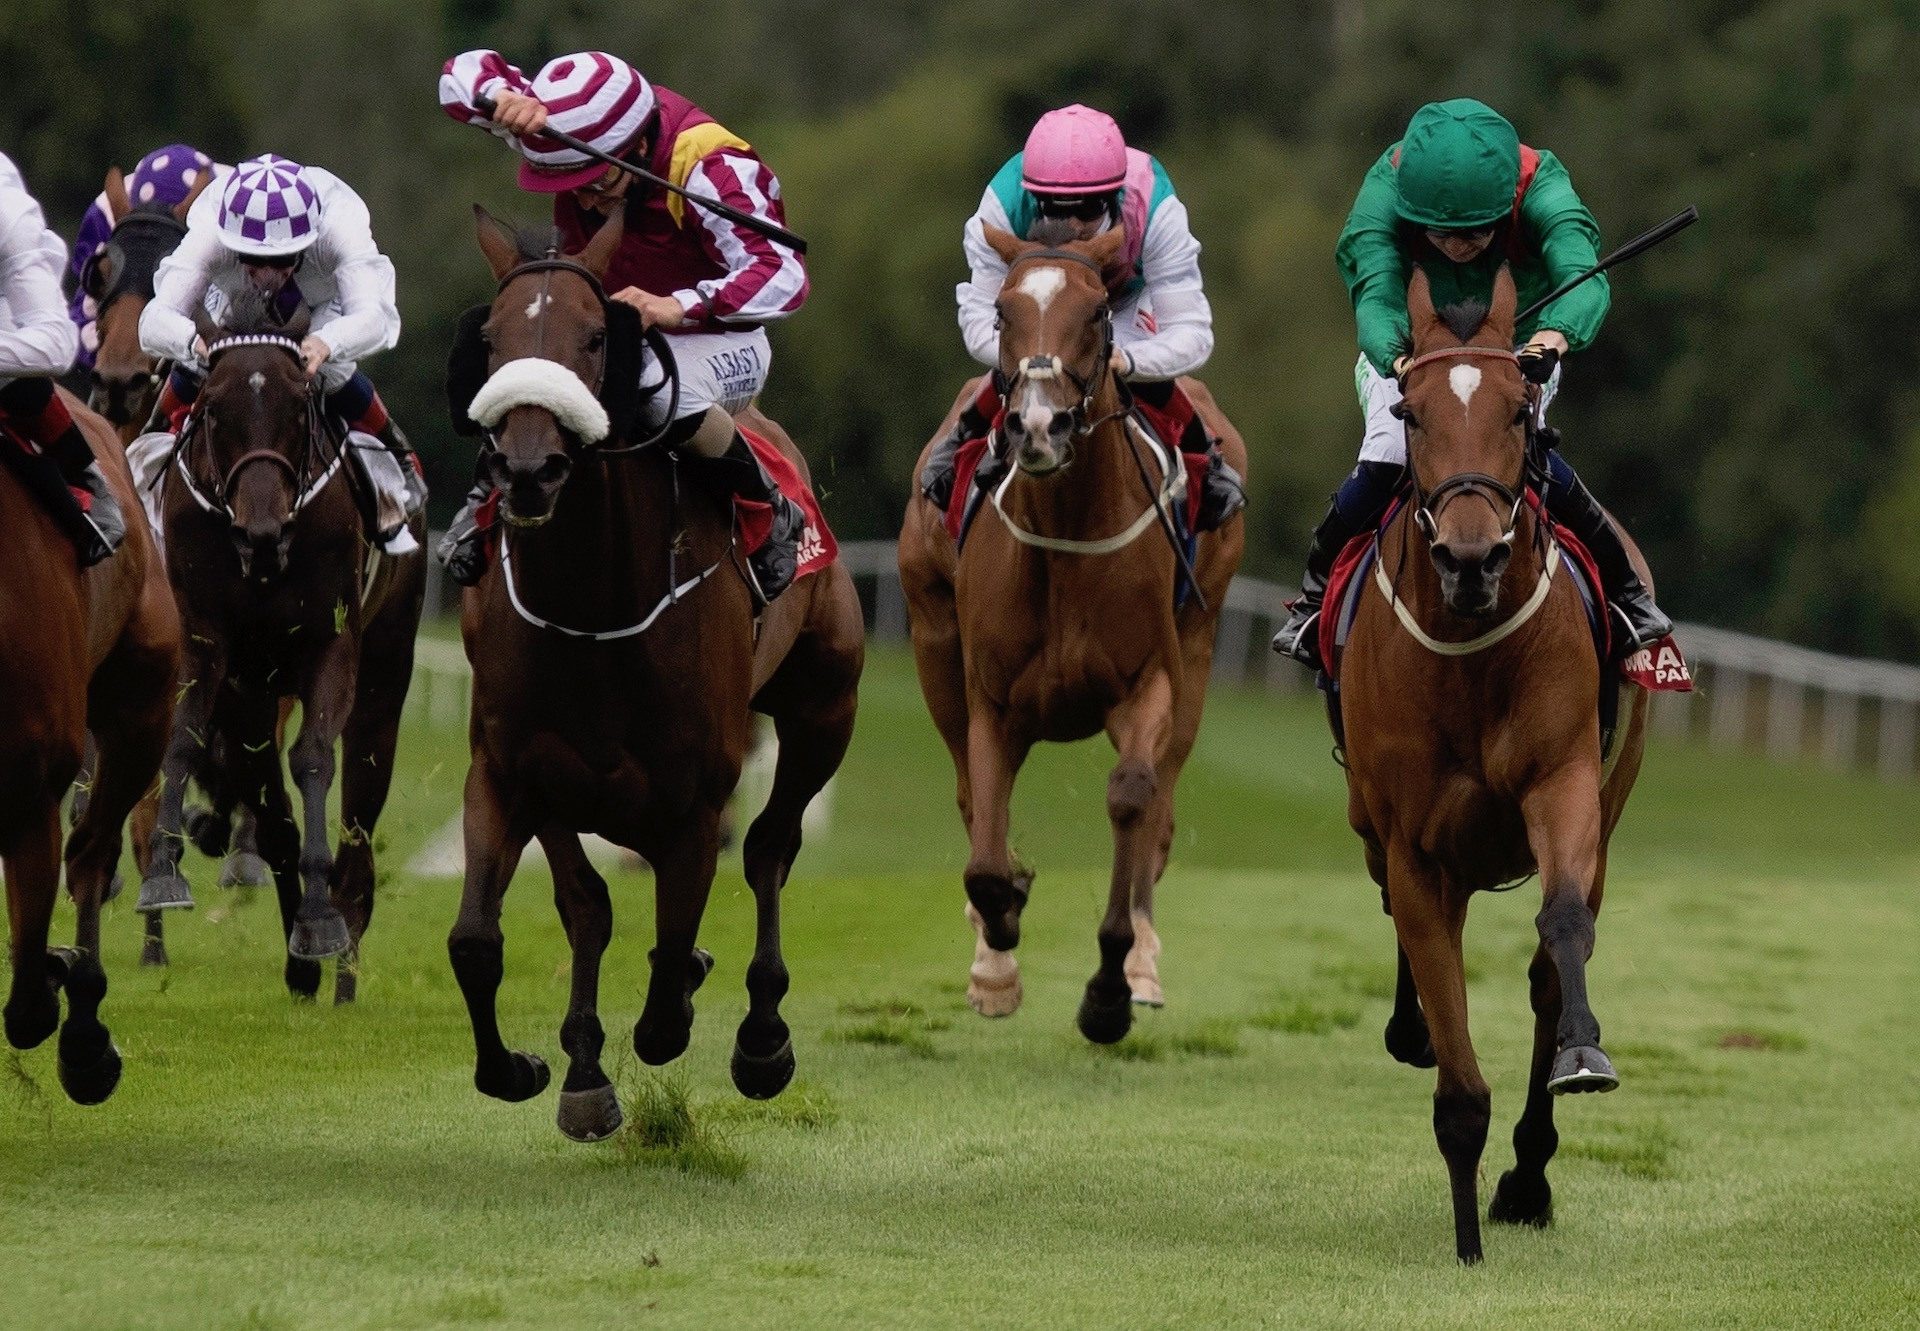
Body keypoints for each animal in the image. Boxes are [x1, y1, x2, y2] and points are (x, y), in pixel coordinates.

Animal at [139, 297, 428, 998]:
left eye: (300, 407)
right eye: (213, 407)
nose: (262, 530)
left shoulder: (332, 643)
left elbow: (316, 759)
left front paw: (322, 920)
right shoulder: (214, 646)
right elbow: (186, 741)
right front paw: (163, 872)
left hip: (385, 675)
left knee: (360, 813)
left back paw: (344, 952)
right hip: (256, 689)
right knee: (271, 813)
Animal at [449, 207, 864, 1144]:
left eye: (597, 336)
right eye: (491, 339)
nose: (527, 470)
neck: (593, 607)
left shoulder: (694, 799)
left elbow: (668, 981)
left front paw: (688, 1006)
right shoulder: (512, 771)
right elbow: (499, 934)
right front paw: (544, 1068)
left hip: (825, 708)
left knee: (769, 847)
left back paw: (762, 1035)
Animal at [894, 225, 1244, 1037]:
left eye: (1096, 315)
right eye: (1002, 310)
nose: (1038, 425)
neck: (1065, 534)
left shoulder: (1150, 682)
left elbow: (1132, 798)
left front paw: (1113, 982)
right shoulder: (992, 702)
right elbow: (985, 851)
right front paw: (997, 952)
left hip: (1201, 642)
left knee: (1161, 808)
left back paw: (1142, 962)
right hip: (932, 641)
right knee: (971, 799)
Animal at [1336, 265, 1651, 1259]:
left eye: (1521, 411)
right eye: (1411, 410)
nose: (1471, 559)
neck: (1471, 656)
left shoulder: (1565, 786)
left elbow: (1561, 930)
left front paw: (1580, 1059)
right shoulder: (1413, 841)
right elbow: (1454, 1063)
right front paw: (1466, 1239)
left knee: (1550, 963)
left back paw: (1529, 1170)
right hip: (1374, 824)